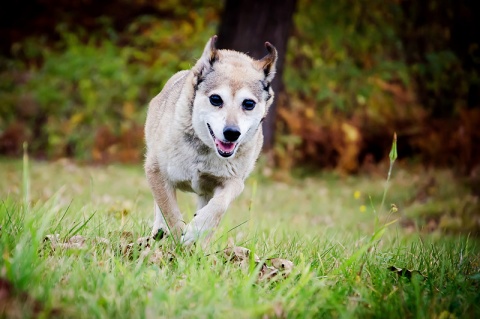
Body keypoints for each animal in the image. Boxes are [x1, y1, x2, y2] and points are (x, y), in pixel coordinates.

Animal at [142, 35, 278, 246]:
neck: (204, 150)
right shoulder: (156, 171)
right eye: (215, 99)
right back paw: (159, 230)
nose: (232, 133)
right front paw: (178, 238)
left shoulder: (232, 182)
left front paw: (195, 232)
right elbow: (169, 211)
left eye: (248, 104)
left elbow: (219, 206)